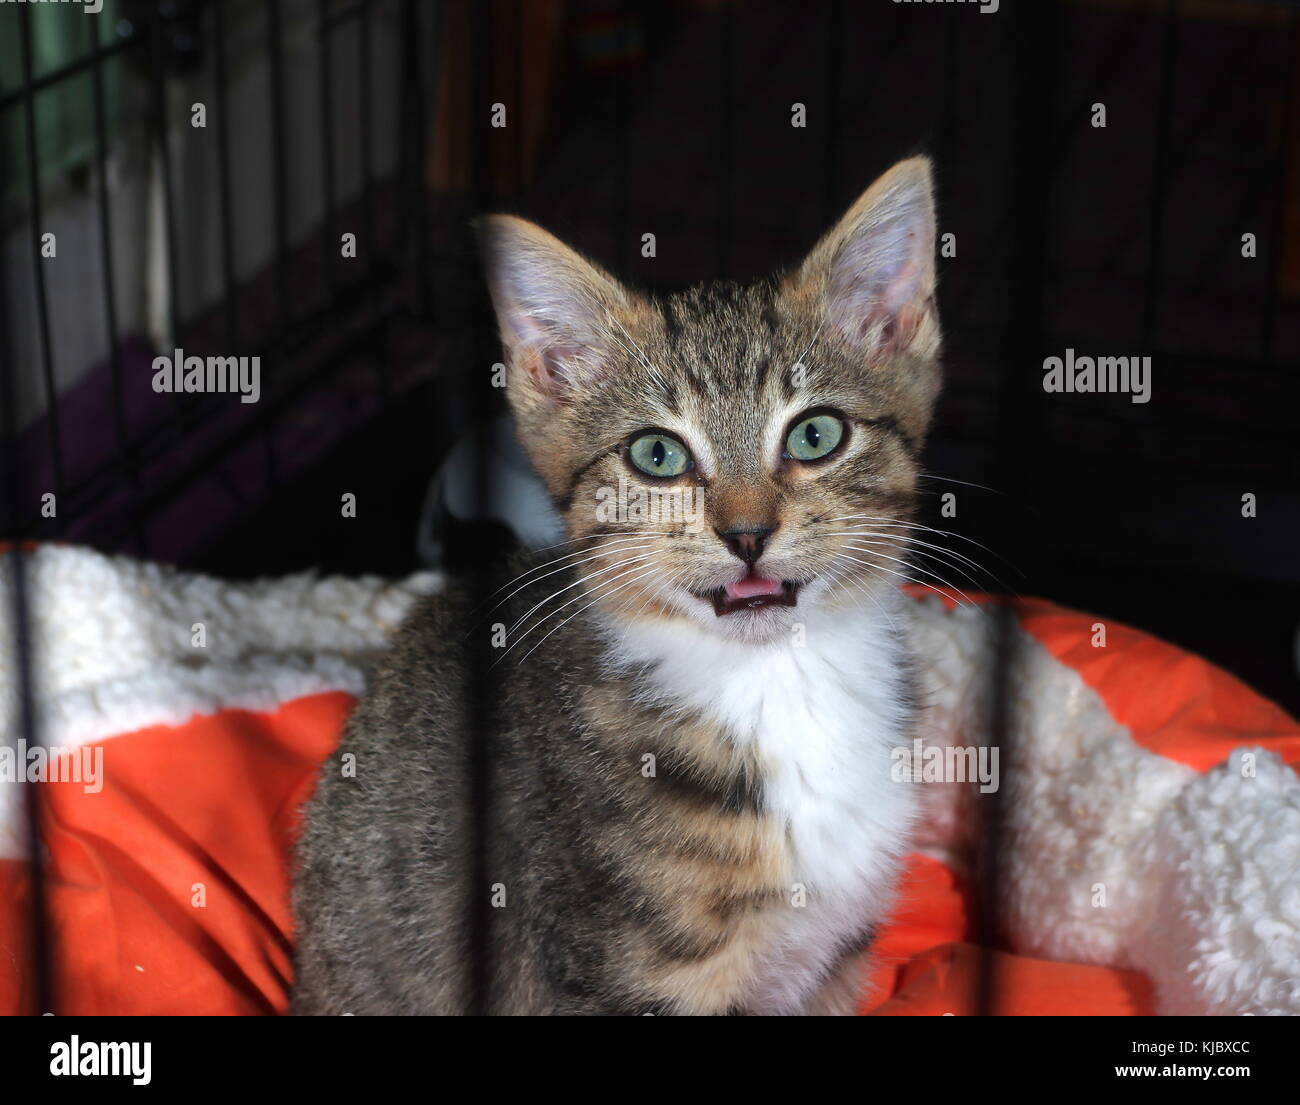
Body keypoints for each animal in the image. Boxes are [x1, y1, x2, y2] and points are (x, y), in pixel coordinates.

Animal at [293, 157, 941, 1013]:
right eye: (657, 456)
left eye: (815, 434)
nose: (746, 534)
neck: (772, 681)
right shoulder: (608, 976)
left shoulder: (834, 964)